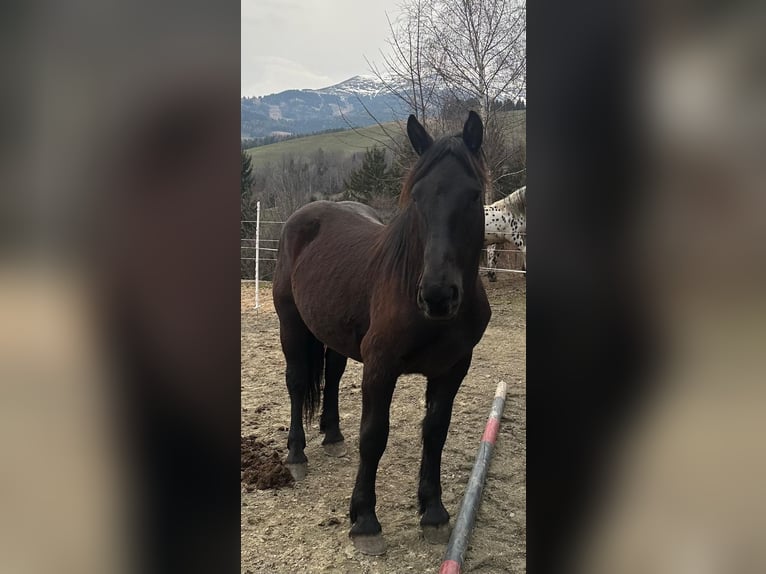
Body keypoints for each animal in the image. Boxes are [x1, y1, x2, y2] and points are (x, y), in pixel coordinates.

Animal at [272, 111, 492, 555]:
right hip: (291, 324)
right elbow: (373, 436)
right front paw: (365, 521)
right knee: (298, 381)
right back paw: (298, 454)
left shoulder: (452, 369)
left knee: (333, 376)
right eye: (417, 196)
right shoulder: (380, 367)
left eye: (474, 195)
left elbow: (435, 433)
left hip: (335, 332)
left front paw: (434, 512)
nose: (438, 295)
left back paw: (333, 435)